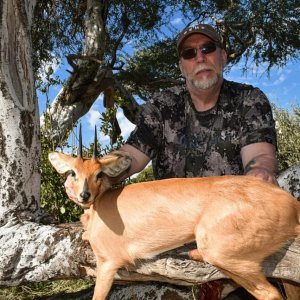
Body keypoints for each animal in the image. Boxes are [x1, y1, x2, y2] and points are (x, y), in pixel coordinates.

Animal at [48, 129, 300, 300]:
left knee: (270, 294)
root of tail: (292, 204)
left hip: (229, 257)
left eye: (99, 174)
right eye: (73, 173)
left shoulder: (108, 263)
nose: (84, 195)